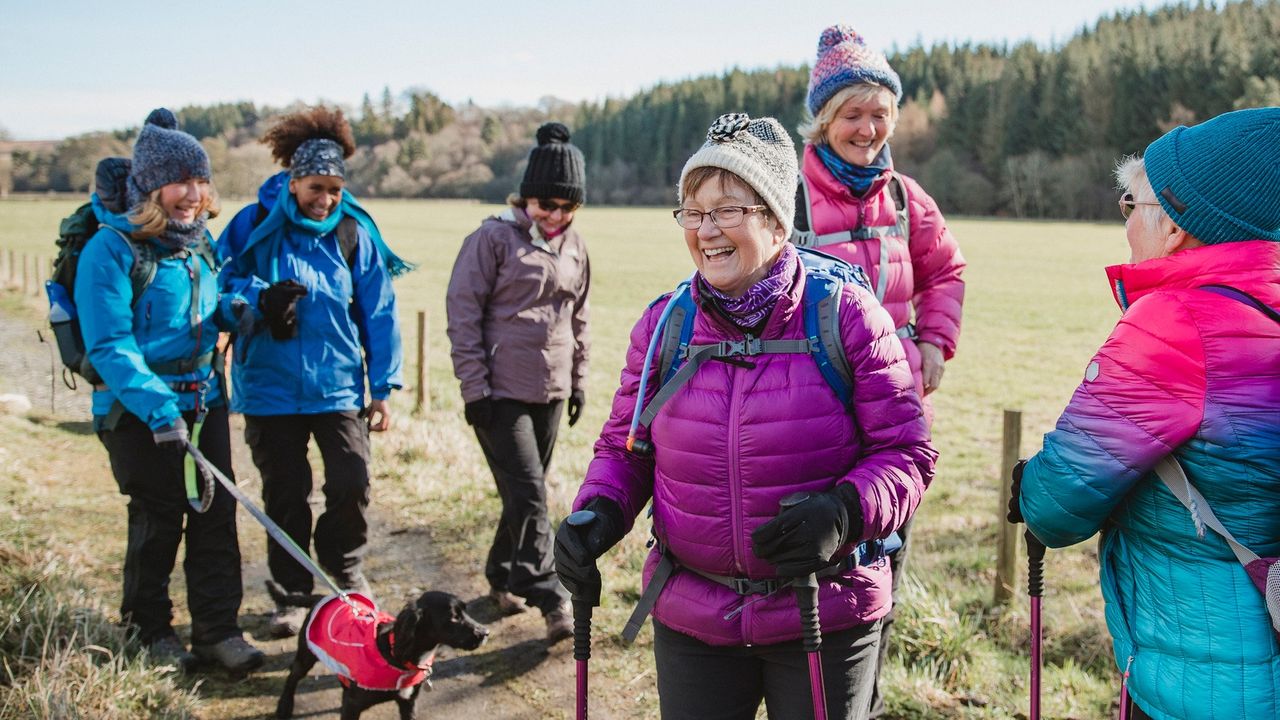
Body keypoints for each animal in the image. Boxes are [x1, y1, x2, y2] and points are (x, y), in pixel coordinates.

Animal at [267, 576, 486, 717]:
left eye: (465, 612)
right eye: (453, 617)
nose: (485, 632)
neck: (397, 654)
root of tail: (323, 597)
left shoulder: (408, 702)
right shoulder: (352, 706)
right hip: (305, 655)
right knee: (292, 676)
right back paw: (284, 707)